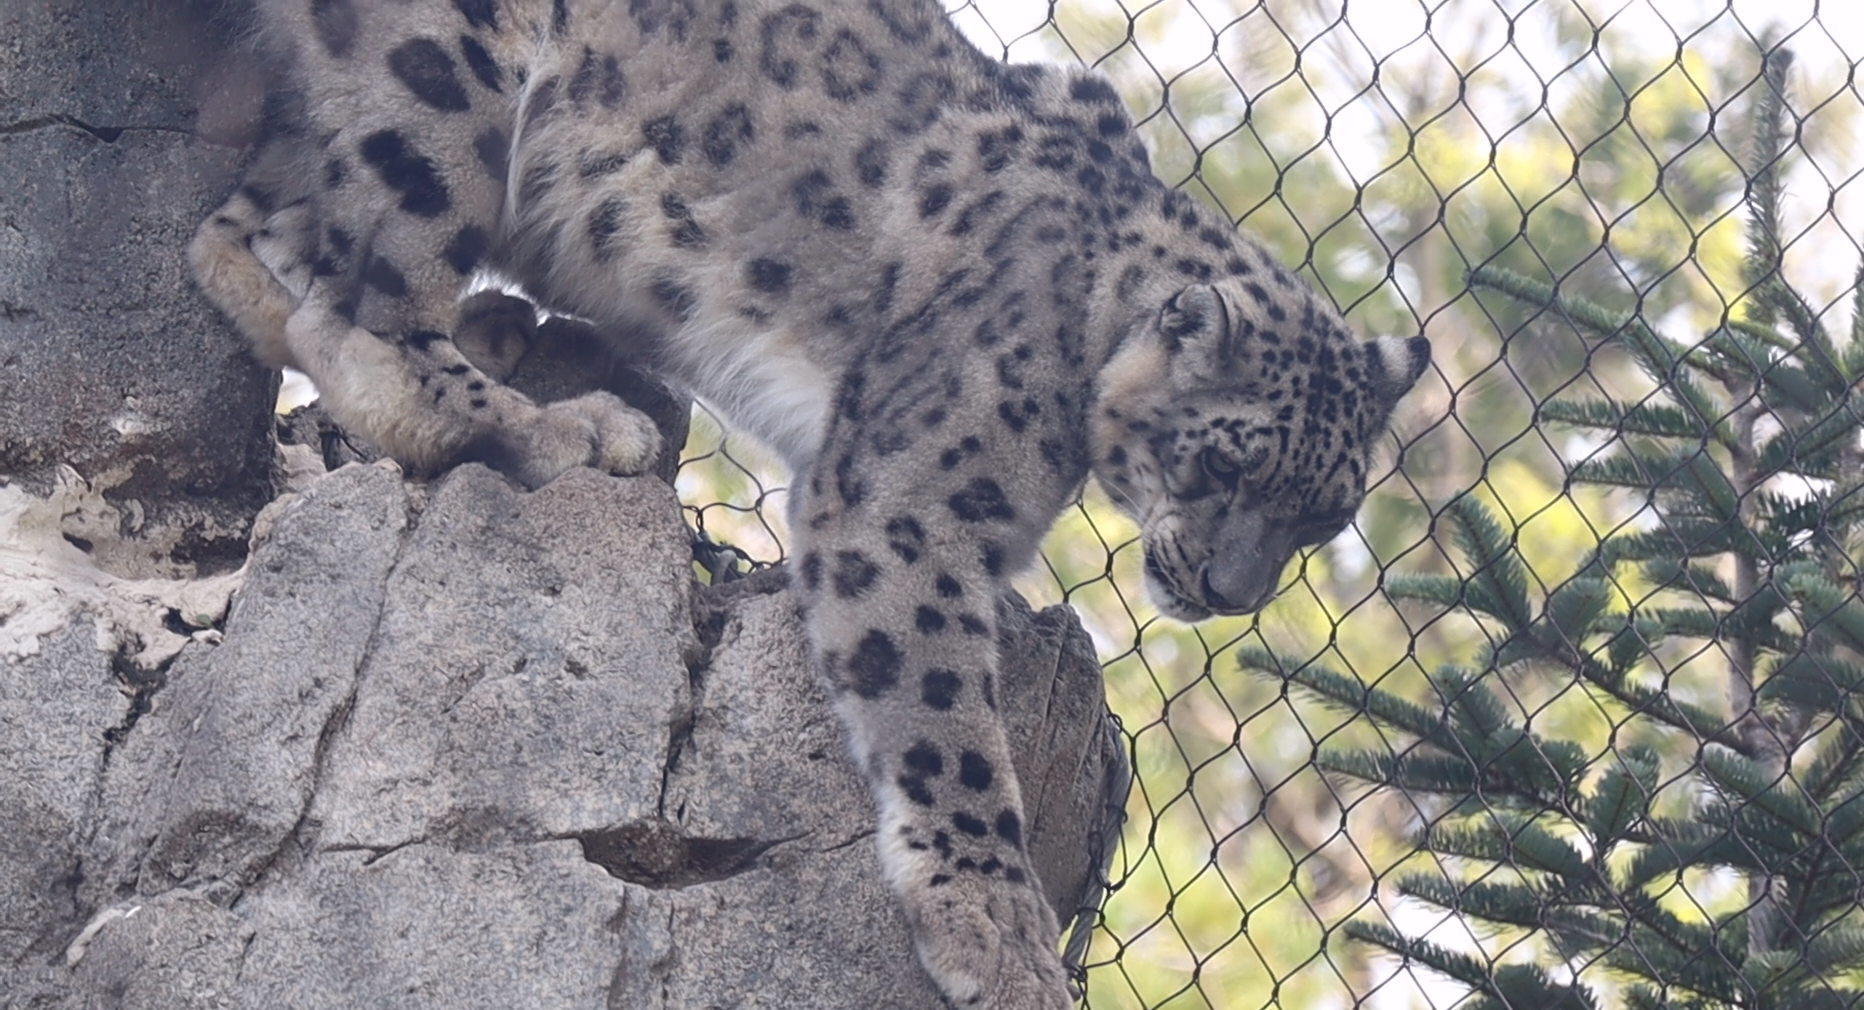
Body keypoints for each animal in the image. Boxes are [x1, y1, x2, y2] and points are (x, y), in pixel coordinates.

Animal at [189, 1, 1431, 1005]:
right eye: (1224, 465)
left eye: (1320, 517)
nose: (1230, 589)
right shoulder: (906, 499)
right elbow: (944, 715)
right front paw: (999, 929)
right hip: (450, 83)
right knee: (362, 310)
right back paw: (565, 423)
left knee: (243, 235)